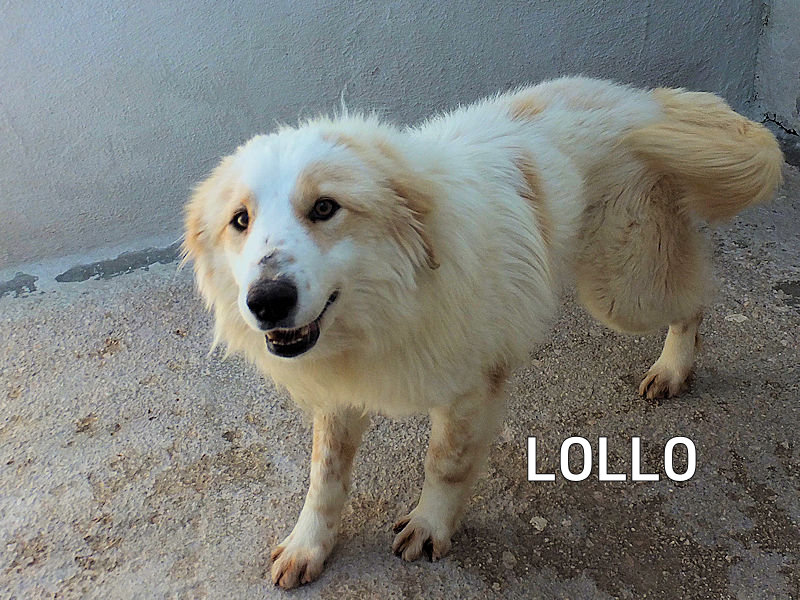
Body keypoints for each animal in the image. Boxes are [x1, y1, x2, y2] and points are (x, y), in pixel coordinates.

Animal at [183, 77, 782, 589]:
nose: (266, 301)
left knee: (697, 296)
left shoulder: (471, 389)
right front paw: (309, 545)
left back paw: (676, 366)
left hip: (625, 293)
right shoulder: (338, 392)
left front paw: (431, 527)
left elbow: (445, 464)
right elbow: (324, 477)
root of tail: (640, 101)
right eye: (240, 221)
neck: (395, 300)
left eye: (324, 207)